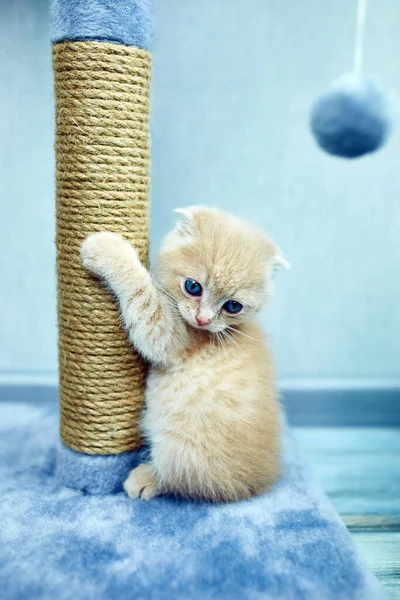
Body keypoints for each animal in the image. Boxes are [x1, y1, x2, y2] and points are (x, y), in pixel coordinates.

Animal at [80, 206, 288, 502]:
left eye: (232, 306)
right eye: (193, 287)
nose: (203, 319)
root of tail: (256, 484)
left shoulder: (170, 337)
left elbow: (143, 294)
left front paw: (106, 248)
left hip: (181, 446)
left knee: (182, 479)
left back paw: (145, 480)